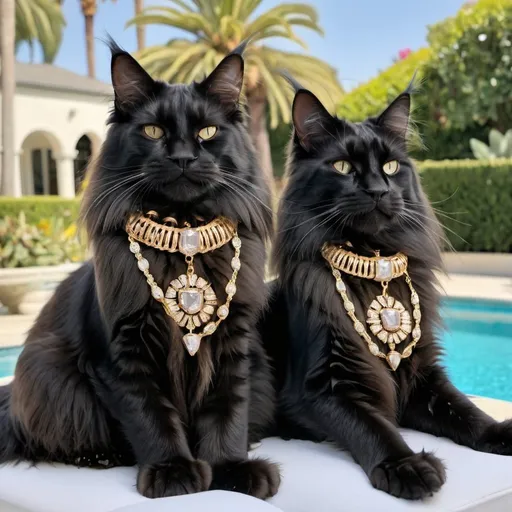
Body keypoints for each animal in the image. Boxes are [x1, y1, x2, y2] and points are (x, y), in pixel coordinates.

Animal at [0, 43, 280, 500]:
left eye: (207, 133)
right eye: (152, 132)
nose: (183, 157)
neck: (184, 239)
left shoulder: (233, 345)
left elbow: (227, 411)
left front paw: (230, 469)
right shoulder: (123, 354)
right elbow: (150, 416)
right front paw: (173, 472)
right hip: (49, 374)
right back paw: (102, 457)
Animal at [262, 84, 512, 500]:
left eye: (392, 167)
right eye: (343, 167)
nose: (379, 190)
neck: (372, 264)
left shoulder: (421, 376)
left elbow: (466, 409)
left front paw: (499, 431)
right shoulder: (323, 388)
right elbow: (373, 427)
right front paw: (406, 466)